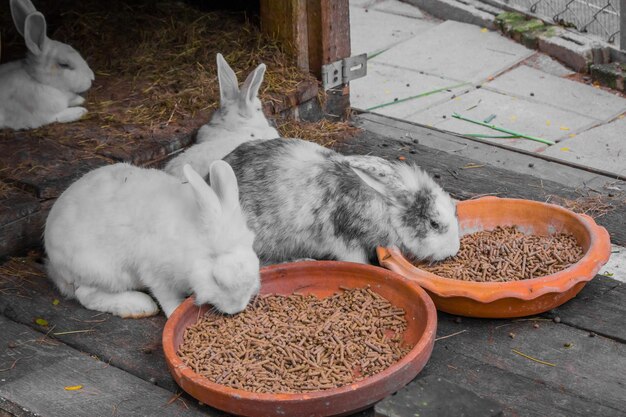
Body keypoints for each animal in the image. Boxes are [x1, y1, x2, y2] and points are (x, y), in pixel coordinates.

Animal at [0, 0, 95, 128]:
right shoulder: (42, 116)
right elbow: (59, 116)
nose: (92, 78)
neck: (36, 80)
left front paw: (79, 99)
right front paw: (80, 111)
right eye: (64, 65)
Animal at [44, 161, 258, 316]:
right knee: (85, 294)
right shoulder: (156, 274)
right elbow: (168, 299)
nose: (237, 308)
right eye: (216, 280)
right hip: (106, 272)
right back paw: (140, 306)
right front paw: (174, 313)